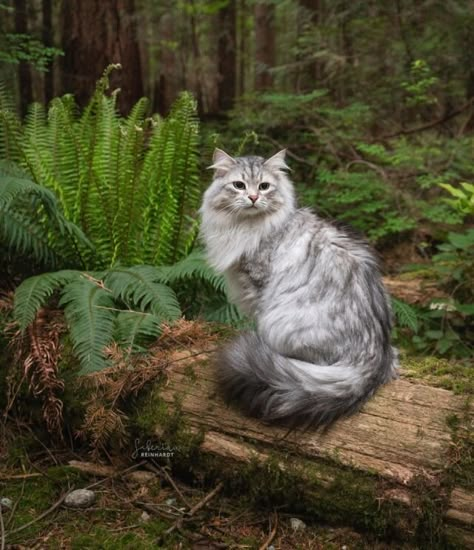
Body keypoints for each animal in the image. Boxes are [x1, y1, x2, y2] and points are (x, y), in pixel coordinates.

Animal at [198, 149, 398, 430]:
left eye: (264, 186)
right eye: (239, 185)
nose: (253, 198)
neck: (245, 227)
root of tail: (374, 361)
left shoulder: (258, 286)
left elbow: (255, 317)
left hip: (281, 323)